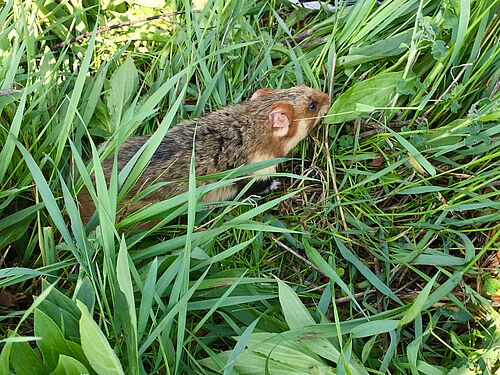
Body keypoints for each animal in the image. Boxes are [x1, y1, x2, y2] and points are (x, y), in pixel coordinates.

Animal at [79, 85, 328, 225]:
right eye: (312, 105)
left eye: (303, 85)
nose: (328, 96)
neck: (251, 124)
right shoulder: (256, 174)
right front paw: (277, 185)